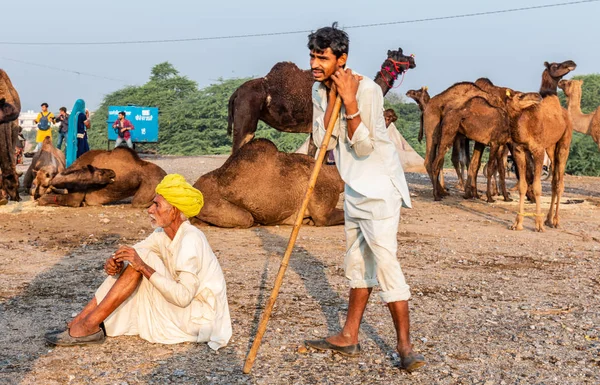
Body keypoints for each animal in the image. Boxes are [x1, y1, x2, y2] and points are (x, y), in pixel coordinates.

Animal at [506, 58, 576, 230]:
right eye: (555, 65)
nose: (571, 63)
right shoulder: (519, 150)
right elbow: (523, 185)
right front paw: (517, 223)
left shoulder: (538, 150)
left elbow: (537, 187)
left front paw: (538, 223)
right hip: (551, 148)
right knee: (553, 181)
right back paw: (549, 219)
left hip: (564, 143)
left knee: (559, 182)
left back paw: (555, 221)